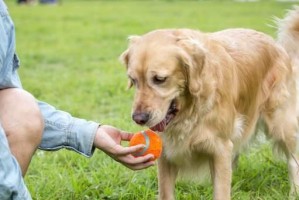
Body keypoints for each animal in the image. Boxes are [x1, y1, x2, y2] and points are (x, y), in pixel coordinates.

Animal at [120, 6, 299, 200]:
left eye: (160, 79)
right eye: (133, 80)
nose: (138, 118)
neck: (191, 111)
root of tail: (277, 46)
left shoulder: (220, 149)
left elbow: (221, 191)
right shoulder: (166, 153)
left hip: (281, 123)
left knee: (293, 160)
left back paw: (294, 191)